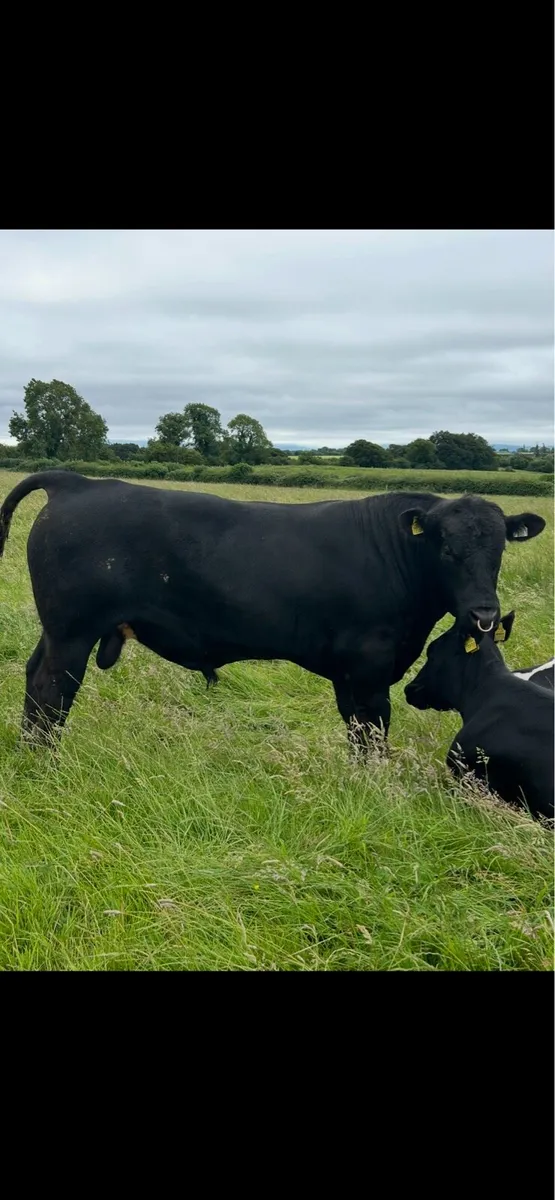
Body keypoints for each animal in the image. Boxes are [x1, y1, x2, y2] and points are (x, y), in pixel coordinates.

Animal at [0, 469, 546, 749]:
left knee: (34, 679)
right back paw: (45, 759)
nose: (484, 613)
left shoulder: (348, 673)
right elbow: (373, 729)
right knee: (51, 692)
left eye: (500, 549)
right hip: (72, 632)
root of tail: (79, 481)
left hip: (57, 631)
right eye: (447, 549)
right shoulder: (369, 665)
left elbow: (356, 728)